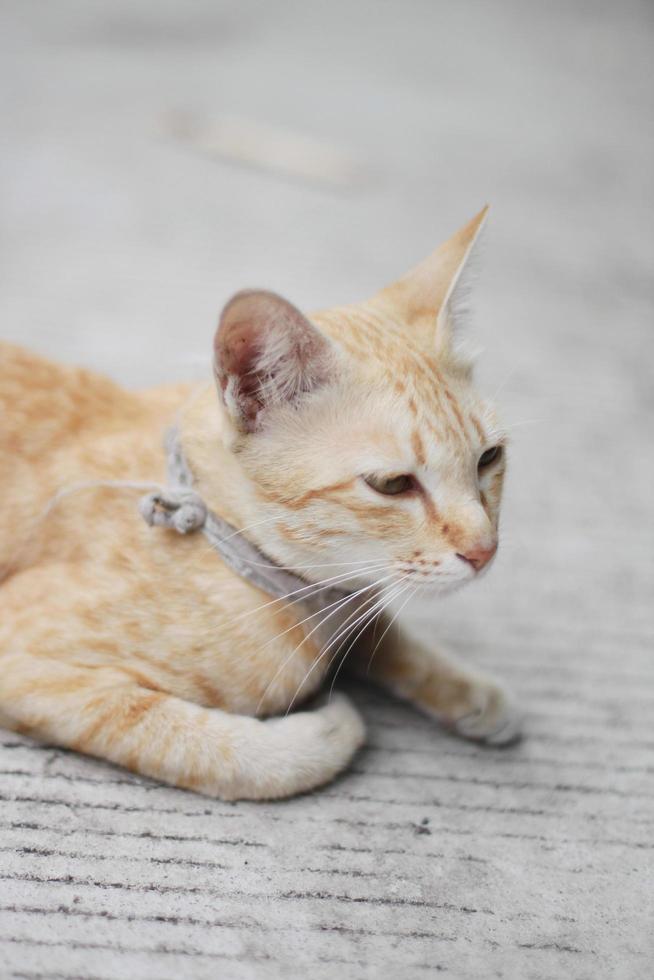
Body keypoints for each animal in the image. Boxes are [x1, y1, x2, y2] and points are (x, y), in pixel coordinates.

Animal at [0, 207, 524, 796]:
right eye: (393, 485)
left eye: (488, 458)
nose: (484, 551)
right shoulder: (22, 657)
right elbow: (213, 748)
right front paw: (326, 729)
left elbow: (381, 628)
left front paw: (468, 687)